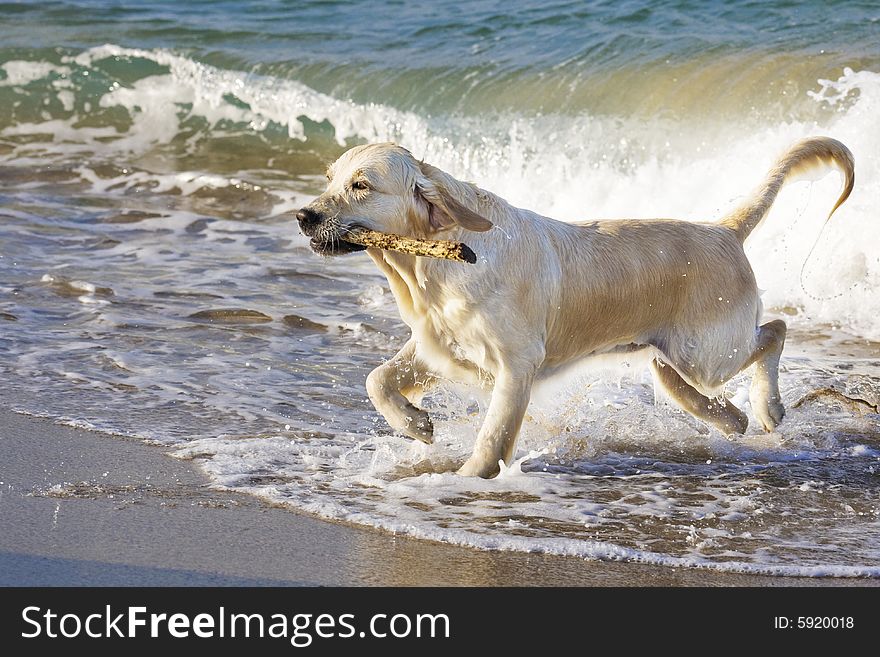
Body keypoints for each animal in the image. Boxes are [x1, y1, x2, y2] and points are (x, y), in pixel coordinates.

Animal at [298, 138, 852, 476]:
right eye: (328, 179)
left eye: (361, 185)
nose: (304, 215)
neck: (430, 265)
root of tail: (723, 230)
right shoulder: (439, 346)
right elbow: (377, 379)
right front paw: (414, 423)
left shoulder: (515, 364)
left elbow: (493, 435)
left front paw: (465, 479)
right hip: (683, 354)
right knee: (685, 380)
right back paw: (724, 416)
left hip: (707, 352)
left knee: (775, 329)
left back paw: (766, 407)